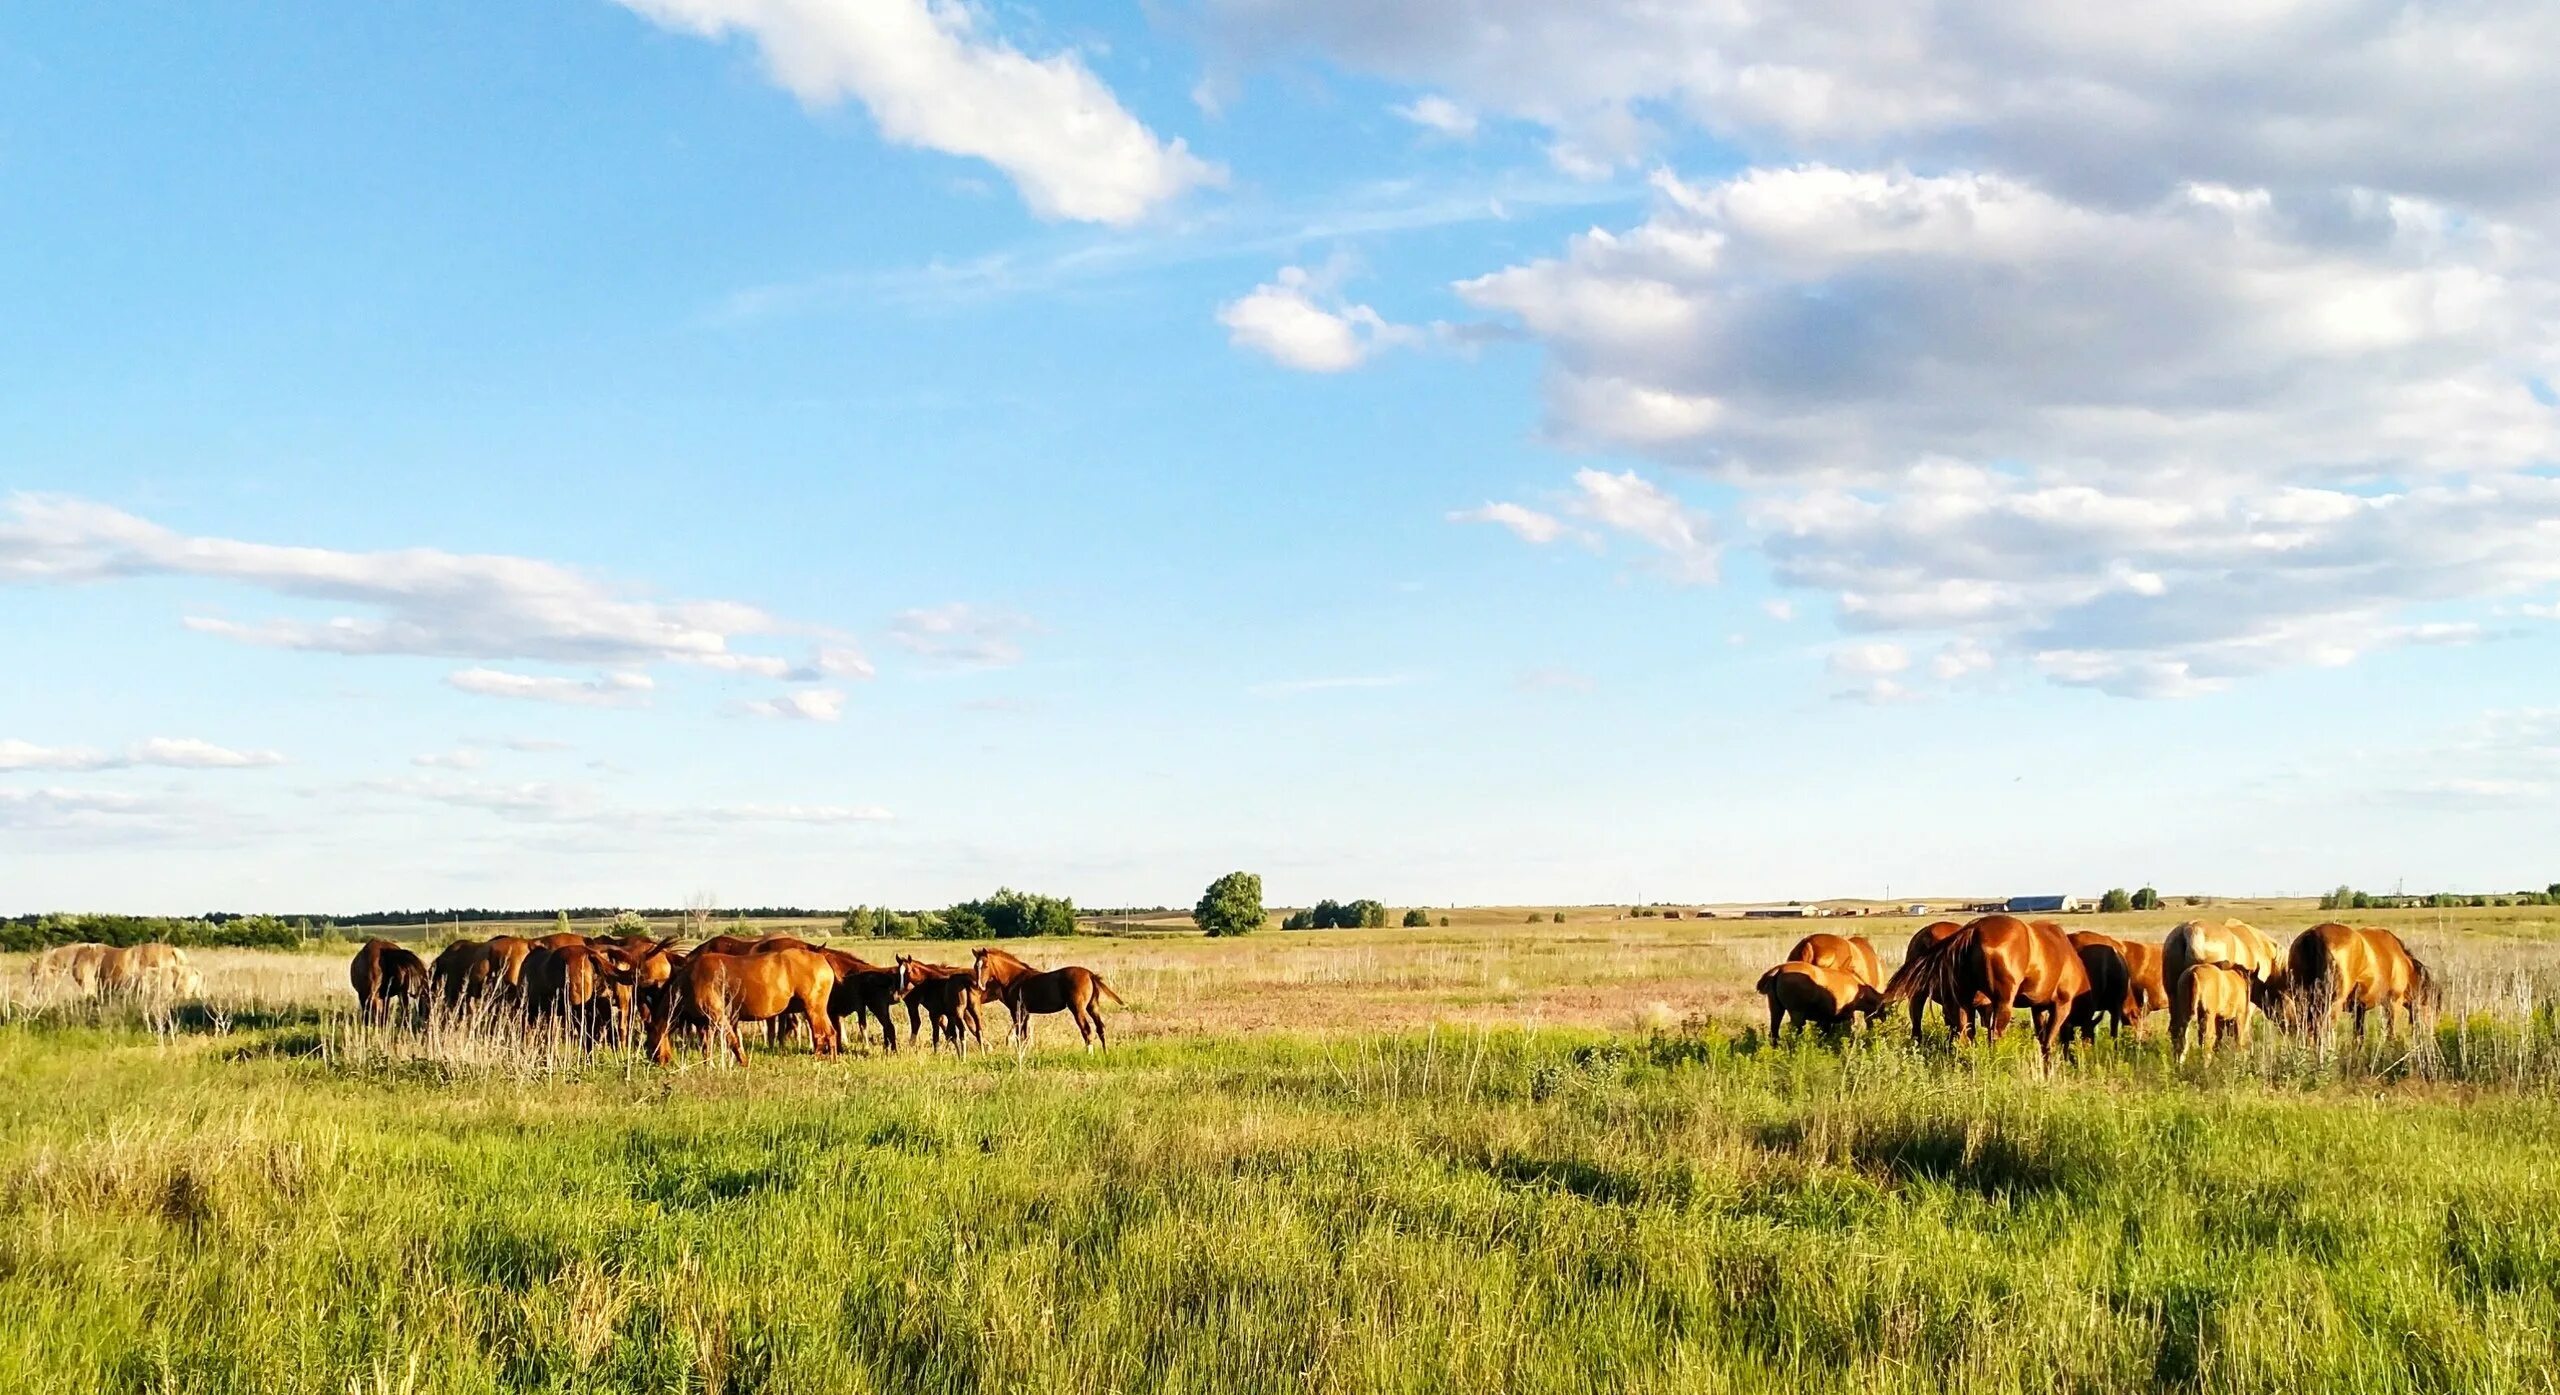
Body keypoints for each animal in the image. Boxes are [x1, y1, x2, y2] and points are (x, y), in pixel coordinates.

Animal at [645, 947, 834, 1064]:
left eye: (649, 1042)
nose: (654, 1060)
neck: (688, 982)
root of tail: (823, 959)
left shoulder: (718, 1015)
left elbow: (733, 1040)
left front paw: (743, 1062)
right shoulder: (706, 1024)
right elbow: (706, 1047)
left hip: (813, 1009)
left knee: (821, 1035)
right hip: (818, 1010)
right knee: (831, 1033)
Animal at [962, 947, 1126, 1044]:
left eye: (986, 966)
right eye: (975, 966)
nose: (979, 986)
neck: (1014, 978)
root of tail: (1090, 974)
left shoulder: (1016, 1011)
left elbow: (1018, 1034)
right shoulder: (1026, 1012)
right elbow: (1025, 1036)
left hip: (1077, 1008)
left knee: (1087, 1031)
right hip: (1093, 1006)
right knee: (1101, 1028)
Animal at [2283, 921, 2437, 1039]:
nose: (2431, 1033)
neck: (2402, 961)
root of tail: (2313, 935)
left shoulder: (2359, 1009)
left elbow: (2358, 1038)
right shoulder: (2392, 1004)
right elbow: (2390, 1034)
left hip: (2302, 1003)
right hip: (2331, 1005)